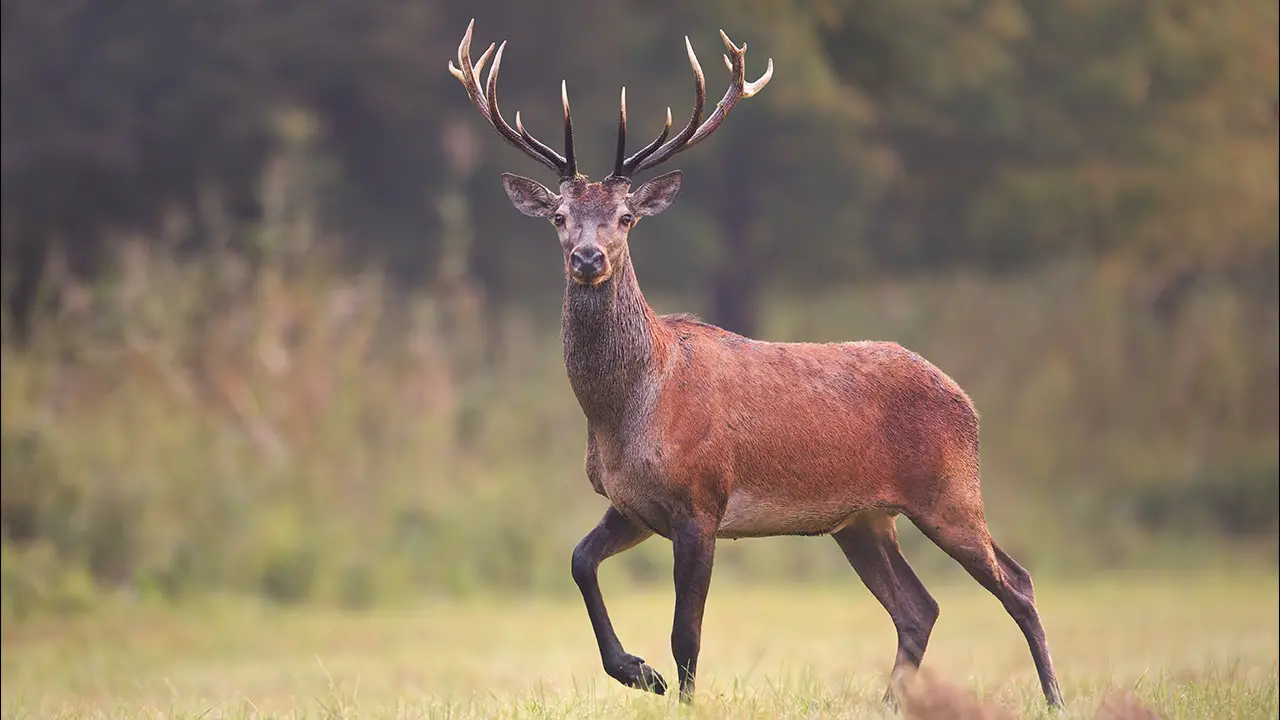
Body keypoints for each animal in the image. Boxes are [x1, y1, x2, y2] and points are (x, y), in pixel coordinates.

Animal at [447, 19, 1065, 709]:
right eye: (559, 216)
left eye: (626, 217)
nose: (587, 257)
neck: (628, 412)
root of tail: (966, 399)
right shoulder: (634, 504)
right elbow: (580, 562)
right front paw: (638, 673)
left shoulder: (701, 499)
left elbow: (686, 632)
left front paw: (677, 693)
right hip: (861, 518)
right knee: (919, 607)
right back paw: (889, 705)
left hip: (949, 491)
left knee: (1018, 582)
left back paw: (1054, 697)